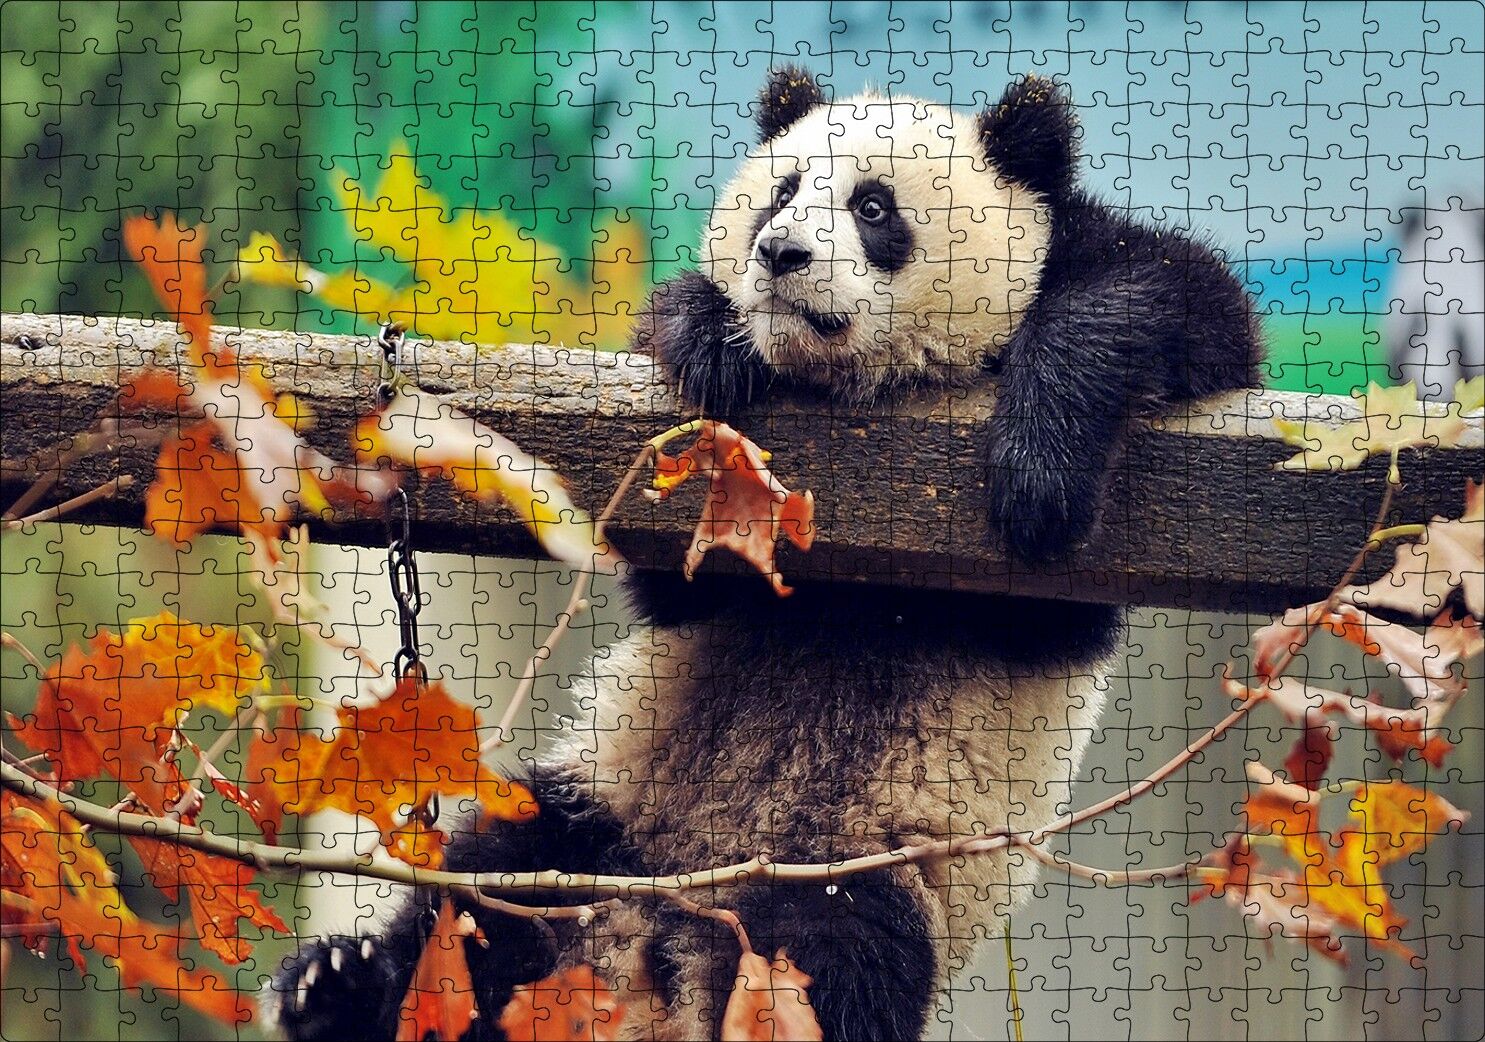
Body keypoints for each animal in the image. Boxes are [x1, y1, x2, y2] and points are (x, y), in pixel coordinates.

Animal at [275, 68, 1262, 1041]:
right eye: (780, 194)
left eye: (873, 207)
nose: (780, 254)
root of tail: (658, 938)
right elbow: (680, 587)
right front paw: (708, 337)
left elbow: (1171, 304)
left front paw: (1039, 469)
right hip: (603, 807)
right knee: (488, 888)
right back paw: (339, 987)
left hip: (870, 865)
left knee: (836, 957)